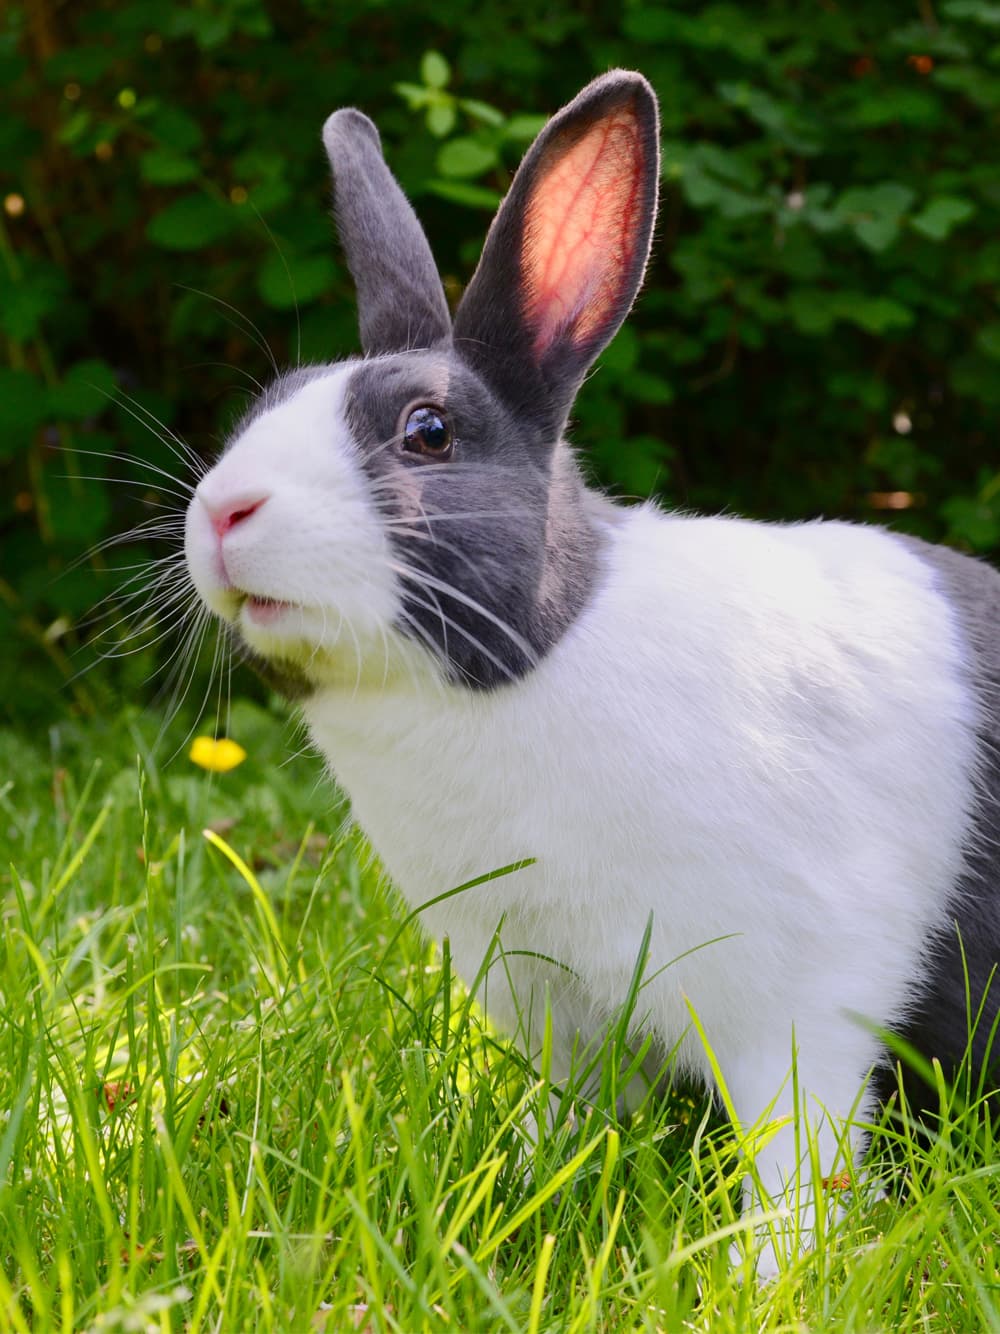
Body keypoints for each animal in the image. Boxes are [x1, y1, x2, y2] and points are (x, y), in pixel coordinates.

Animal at [184, 70, 1000, 1275]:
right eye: (261, 407)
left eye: (428, 431)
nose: (222, 514)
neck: (536, 660)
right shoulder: (550, 1005)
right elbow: (562, 1119)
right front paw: (509, 1201)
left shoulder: (798, 1001)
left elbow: (798, 1155)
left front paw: (762, 1278)